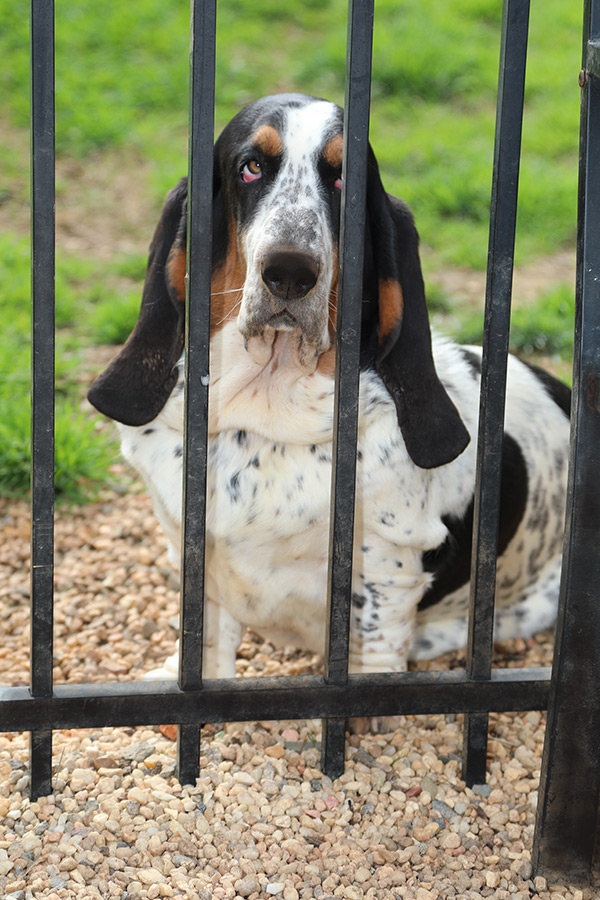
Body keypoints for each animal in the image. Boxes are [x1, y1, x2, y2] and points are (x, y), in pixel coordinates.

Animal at [86, 93, 568, 684]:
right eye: (251, 167)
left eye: (343, 181)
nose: (290, 272)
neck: (265, 417)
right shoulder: (194, 555)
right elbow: (205, 642)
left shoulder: (387, 574)